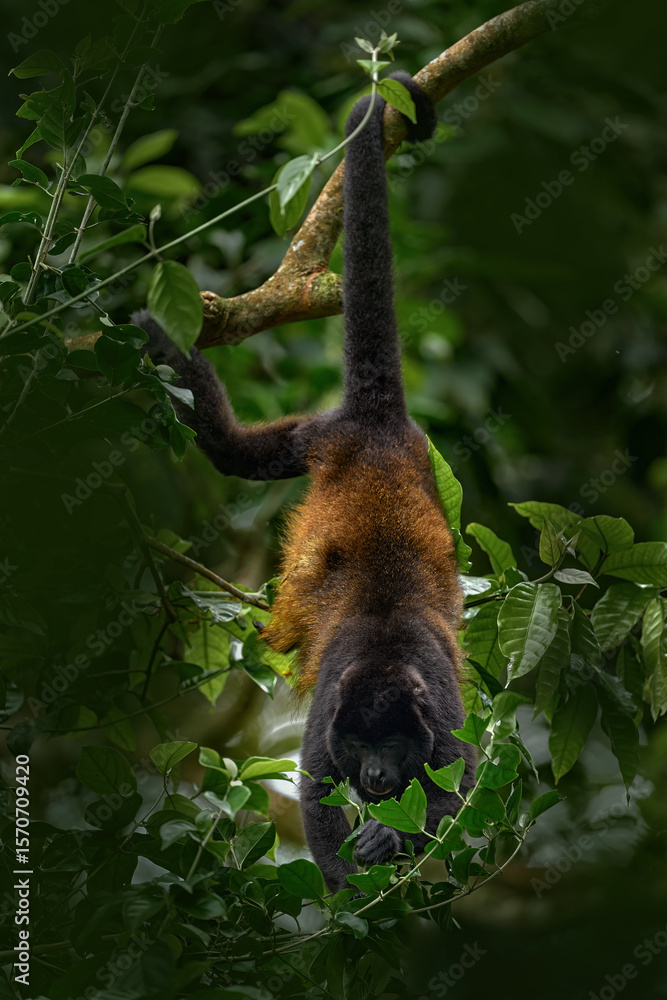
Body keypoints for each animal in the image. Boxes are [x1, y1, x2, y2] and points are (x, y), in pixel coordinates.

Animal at [133, 71, 476, 893]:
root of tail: (375, 423)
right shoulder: (327, 717)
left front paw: (390, 838)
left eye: (392, 746)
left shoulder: (440, 709)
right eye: (359, 748)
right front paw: (352, 877)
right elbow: (316, 799)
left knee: (238, 455)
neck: (384, 652)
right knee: (237, 455)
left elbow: (462, 783)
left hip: (342, 438)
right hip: (323, 438)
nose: (377, 780)